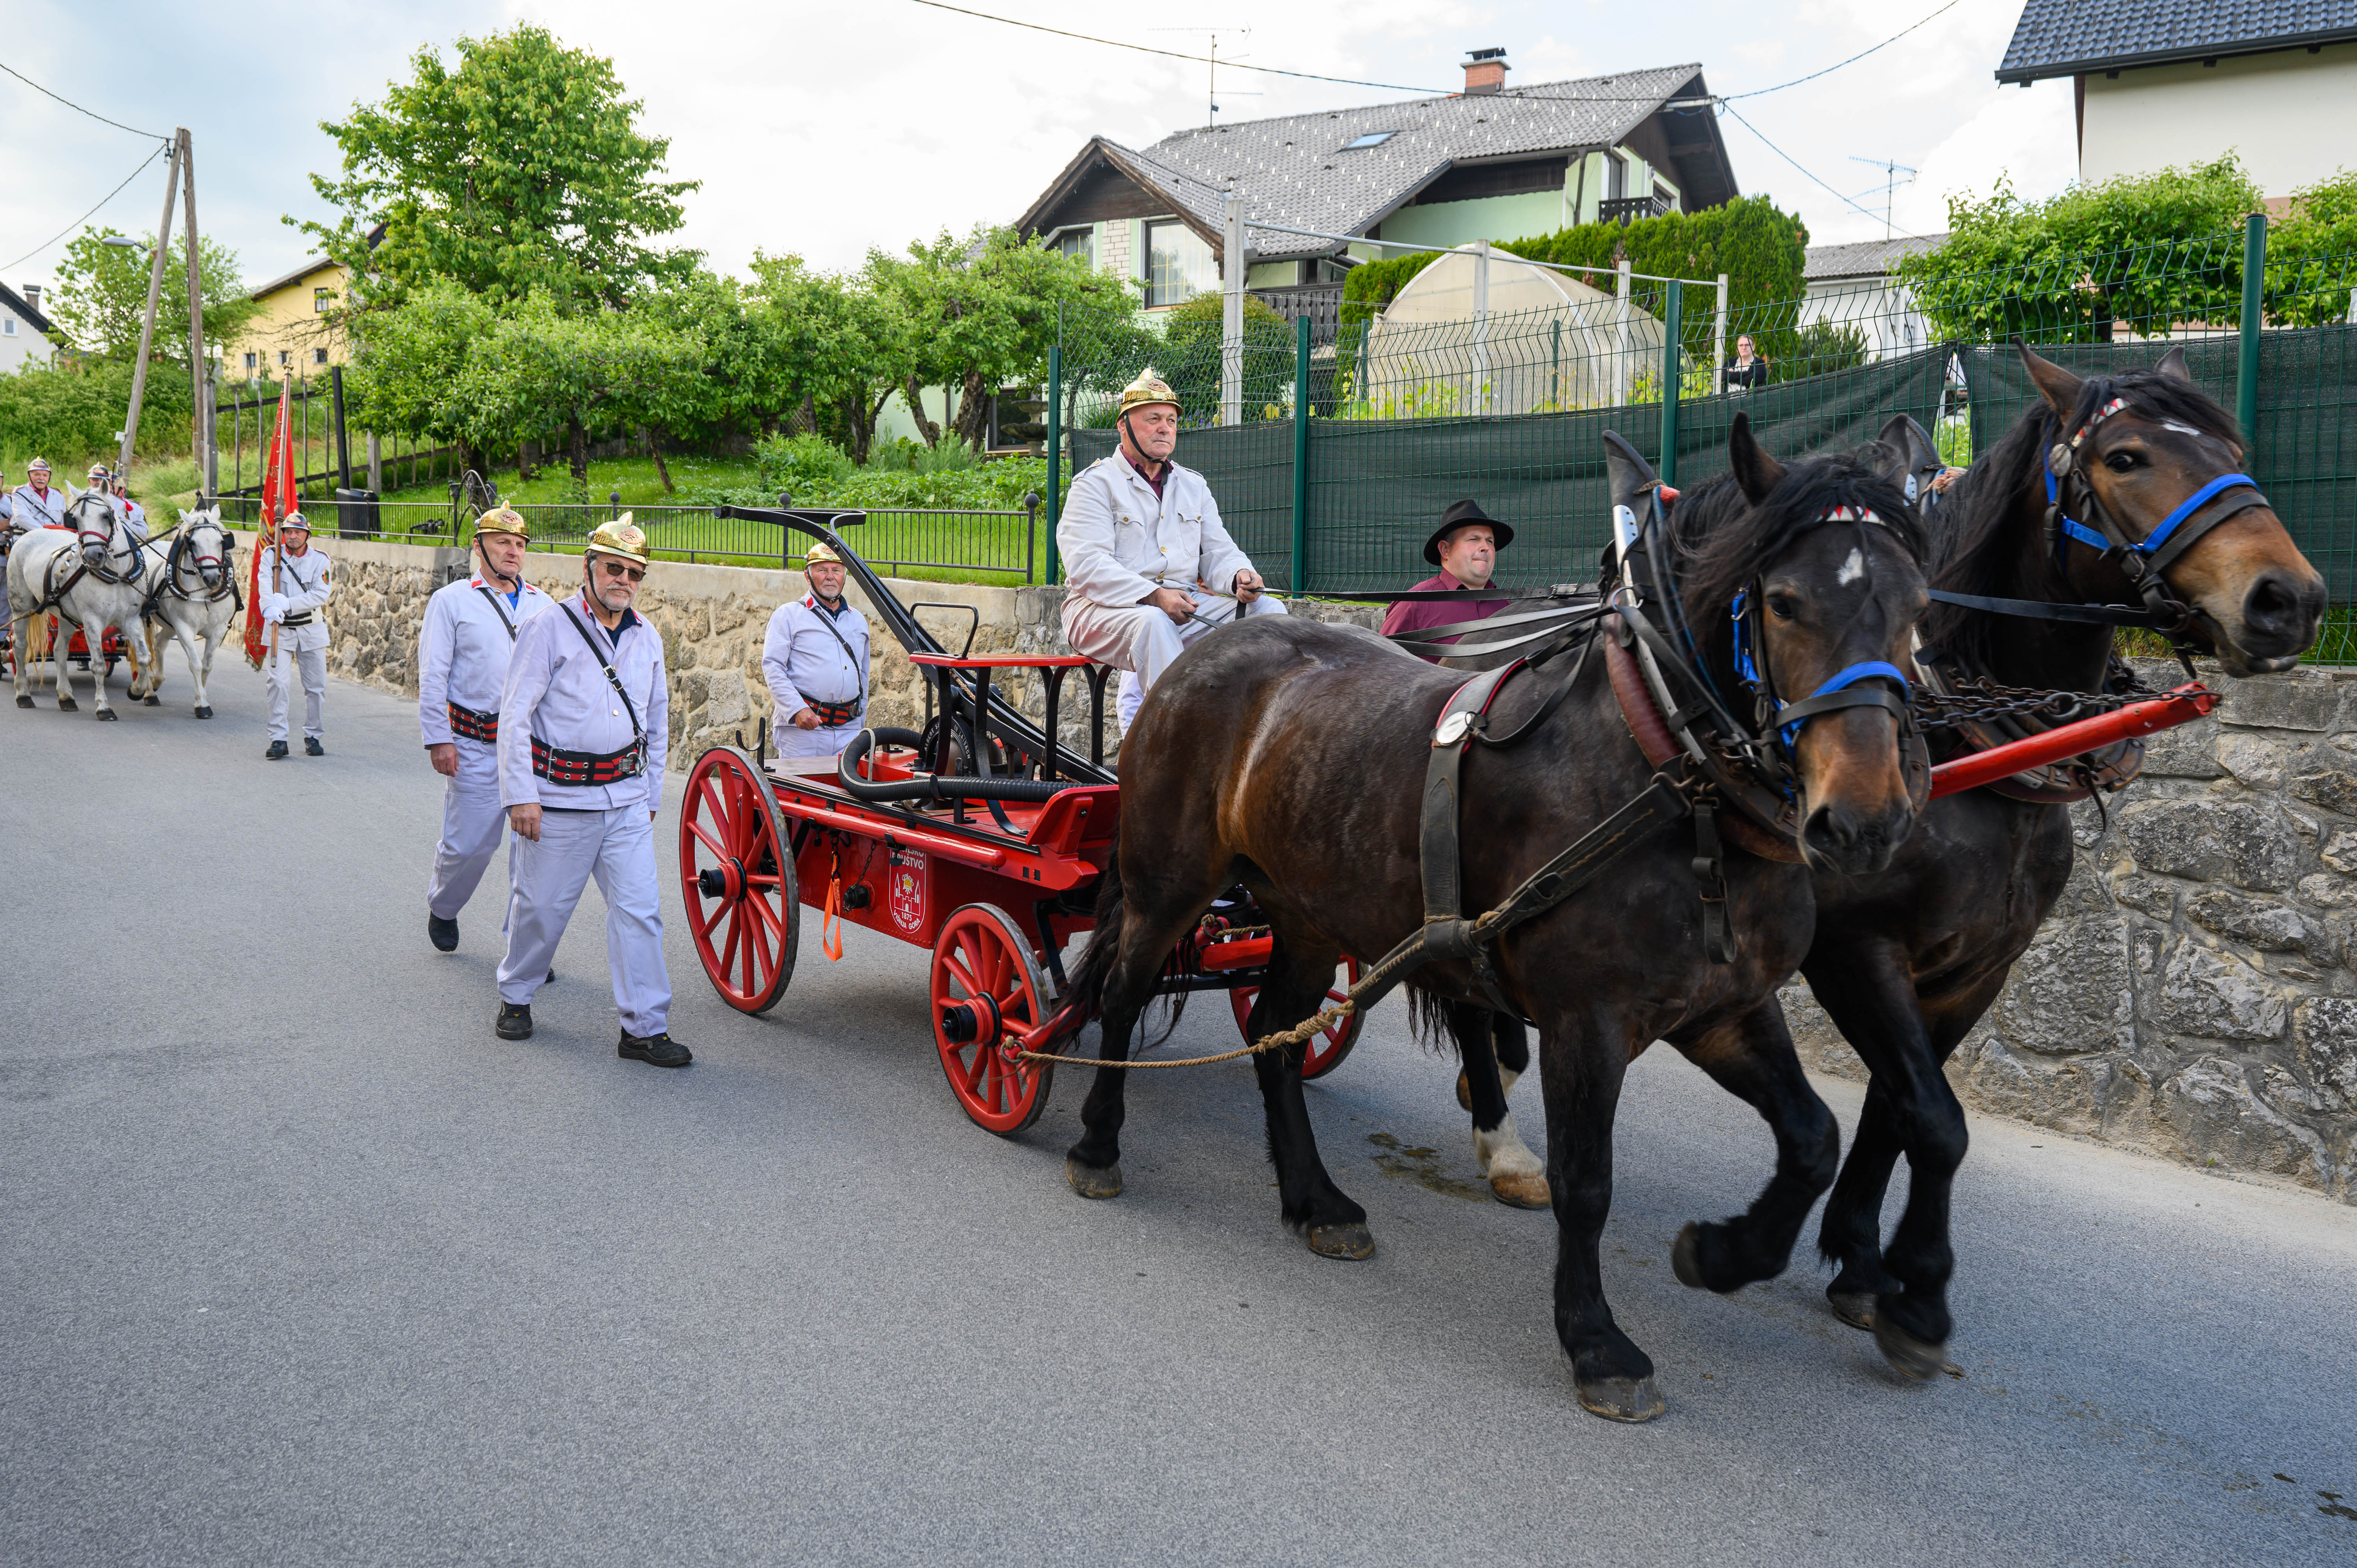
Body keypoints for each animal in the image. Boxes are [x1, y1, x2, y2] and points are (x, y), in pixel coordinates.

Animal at [7, 489, 155, 719]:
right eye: (75, 519)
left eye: (106, 516)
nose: (93, 556)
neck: (116, 575)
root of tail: (28, 535)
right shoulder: (92, 620)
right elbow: (99, 664)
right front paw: (104, 707)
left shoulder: (131, 619)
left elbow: (143, 657)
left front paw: (137, 691)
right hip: (21, 606)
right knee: (20, 647)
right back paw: (23, 694)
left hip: (64, 614)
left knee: (60, 650)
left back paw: (66, 697)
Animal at [131, 508, 240, 717]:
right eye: (193, 543)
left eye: (221, 542)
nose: (213, 578)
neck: (203, 593)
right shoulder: (184, 628)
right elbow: (196, 664)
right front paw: (202, 705)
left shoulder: (218, 629)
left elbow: (207, 666)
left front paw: (202, 695)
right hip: (146, 620)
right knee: (147, 652)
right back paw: (148, 692)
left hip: (169, 625)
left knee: (159, 643)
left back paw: (157, 681)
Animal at [1041, 417, 1932, 1421]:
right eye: (1782, 602)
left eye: (1918, 601)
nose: (1865, 821)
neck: (1665, 764)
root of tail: (1206, 647)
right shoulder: (1589, 1021)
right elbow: (1587, 1180)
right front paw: (1595, 1338)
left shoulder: (1725, 1008)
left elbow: (1814, 1139)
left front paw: (1725, 1251)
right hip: (1170, 879)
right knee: (1123, 991)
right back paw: (1098, 1141)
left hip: (1307, 909)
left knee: (1274, 1030)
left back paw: (1315, 1198)